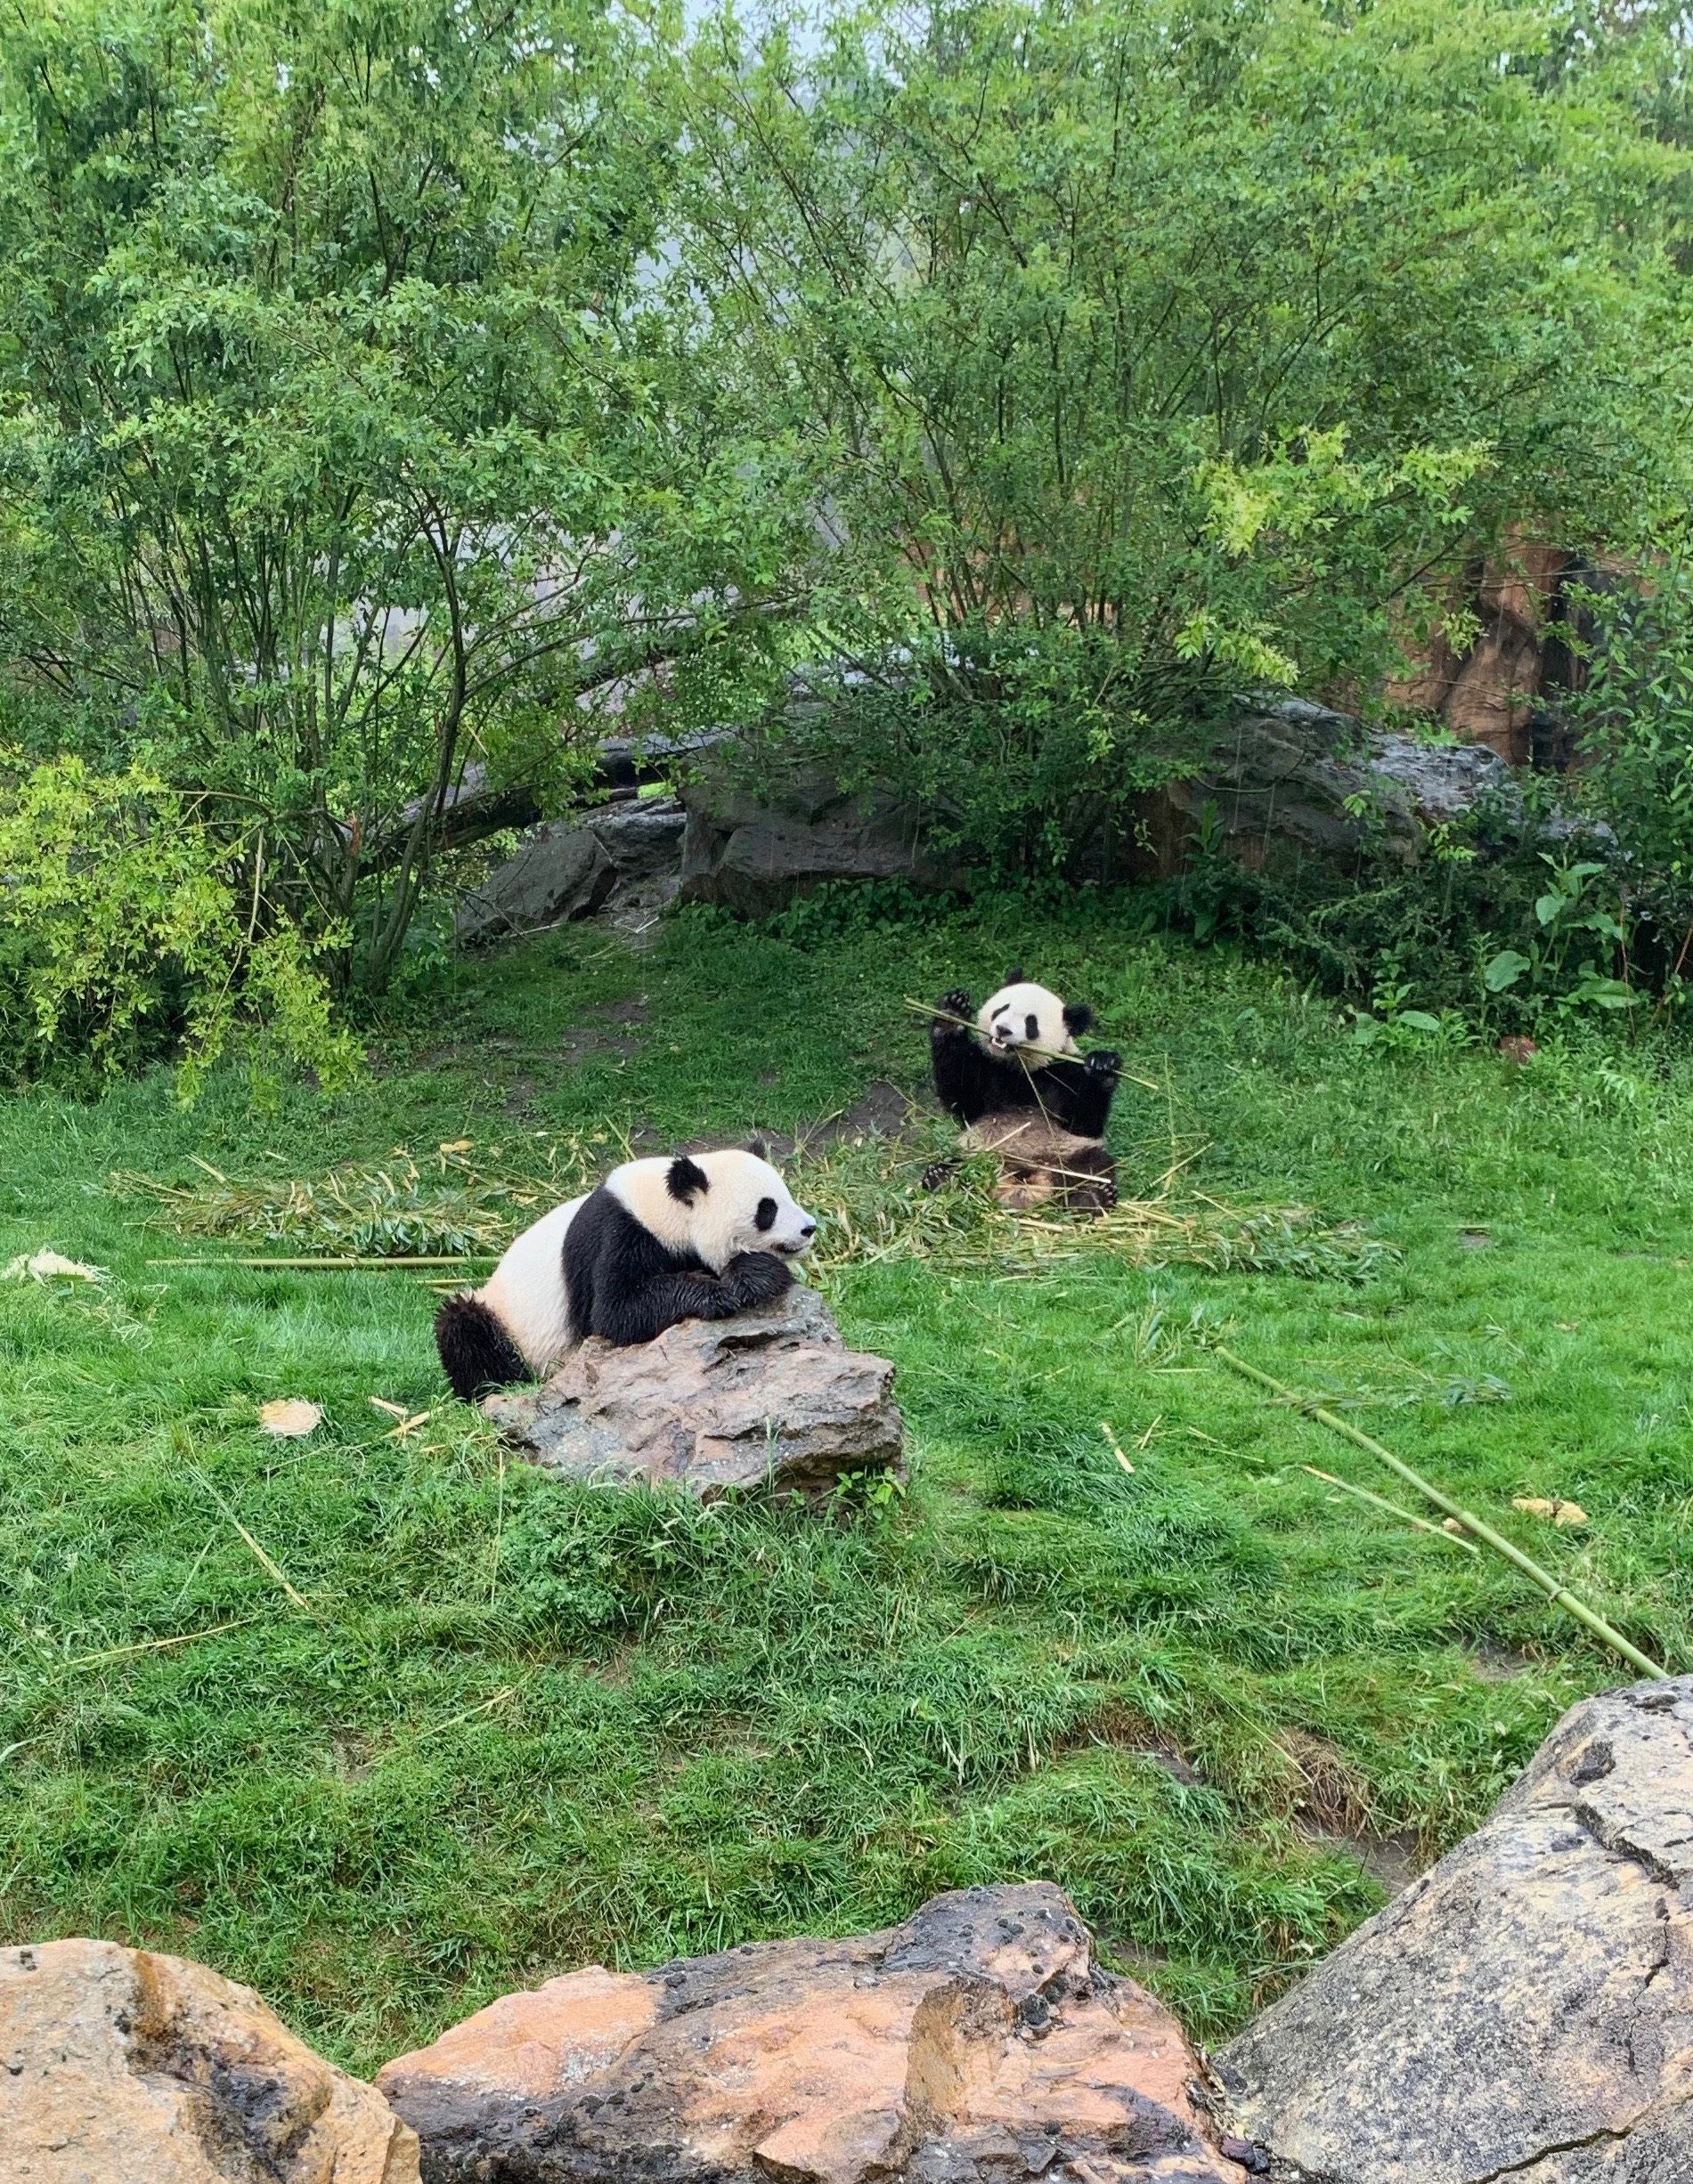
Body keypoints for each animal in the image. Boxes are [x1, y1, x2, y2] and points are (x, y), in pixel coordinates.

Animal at [436, 1144, 821, 1397]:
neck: (668, 1209)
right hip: (505, 1320)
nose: (810, 1228)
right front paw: (716, 1293)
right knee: (463, 1327)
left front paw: (751, 1275)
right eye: (767, 1209)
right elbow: (615, 1311)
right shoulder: (621, 1232)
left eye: (787, 1195)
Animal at [926, 974, 1127, 1214]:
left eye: (1031, 1023)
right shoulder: (988, 1070)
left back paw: (1092, 1198)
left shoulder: (1064, 1073)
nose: (1002, 1030)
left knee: (1095, 1167)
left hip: (1067, 1155)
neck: (1021, 1068)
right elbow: (958, 1091)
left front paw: (1102, 1067)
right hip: (976, 1152)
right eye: (1002, 1008)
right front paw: (952, 1013)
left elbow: (1084, 1123)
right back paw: (942, 1178)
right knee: (955, 1164)